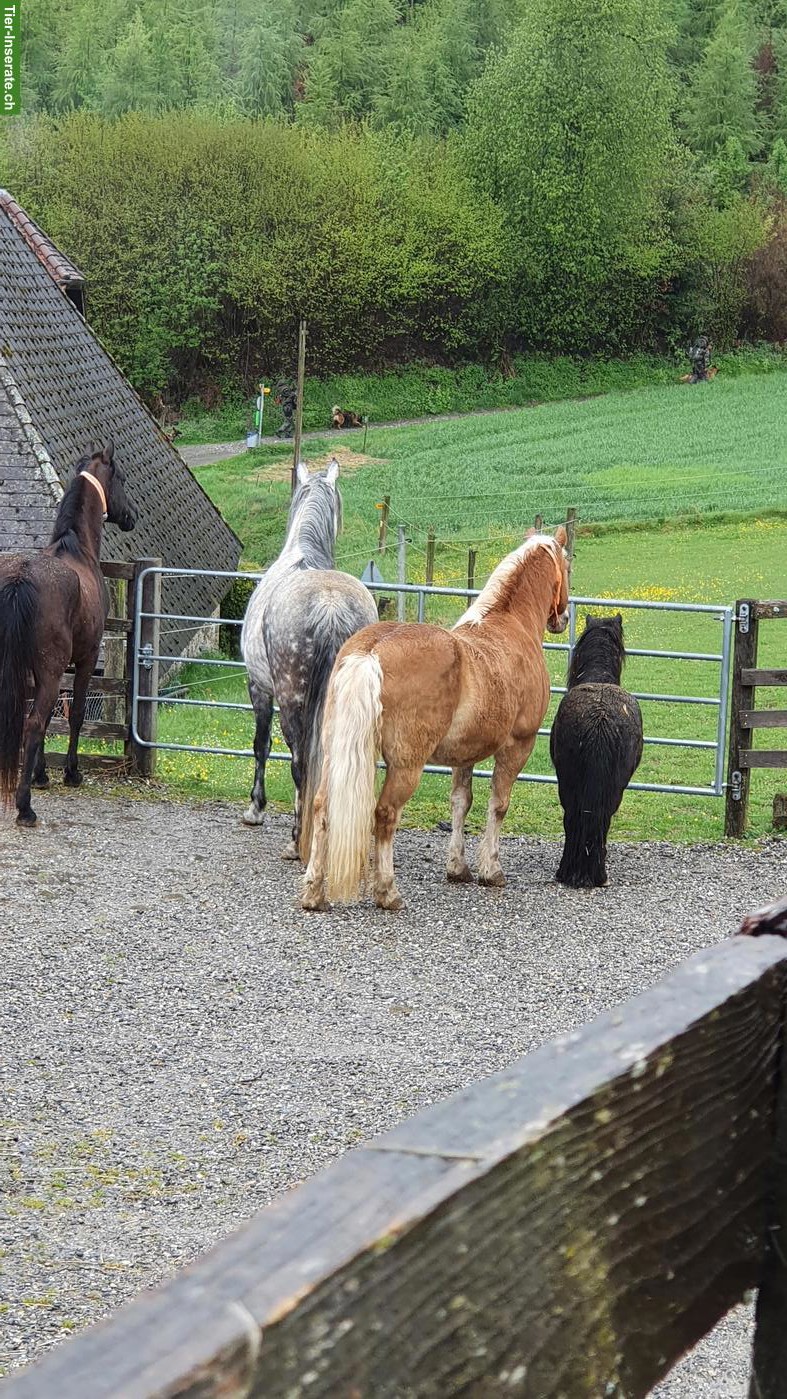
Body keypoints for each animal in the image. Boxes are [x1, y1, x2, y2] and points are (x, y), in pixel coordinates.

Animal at [0, 442, 138, 826]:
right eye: (121, 477)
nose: (131, 517)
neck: (76, 548)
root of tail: (21, 578)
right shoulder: (85, 660)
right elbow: (71, 716)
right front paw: (70, 773)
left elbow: (50, 720)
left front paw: (41, 774)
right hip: (52, 668)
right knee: (32, 724)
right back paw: (25, 808)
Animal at [240, 458, 378, 859]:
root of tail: (329, 604)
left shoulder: (258, 687)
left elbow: (261, 745)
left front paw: (256, 808)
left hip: (292, 699)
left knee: (301, 761)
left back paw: (296, 840)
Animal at [301, 526, 570, 911]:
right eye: (568, 564)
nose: (562, 618)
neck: (508, 625)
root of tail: (370, 652)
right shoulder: (518, 745)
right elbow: (498, 805)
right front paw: (492, 870)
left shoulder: (465, 754)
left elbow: (461, 803)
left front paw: (458, 868)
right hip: (406, 766)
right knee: (385, 815)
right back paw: (388, 892)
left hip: (335, 755)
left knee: (323, 808)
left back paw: (313, 893)